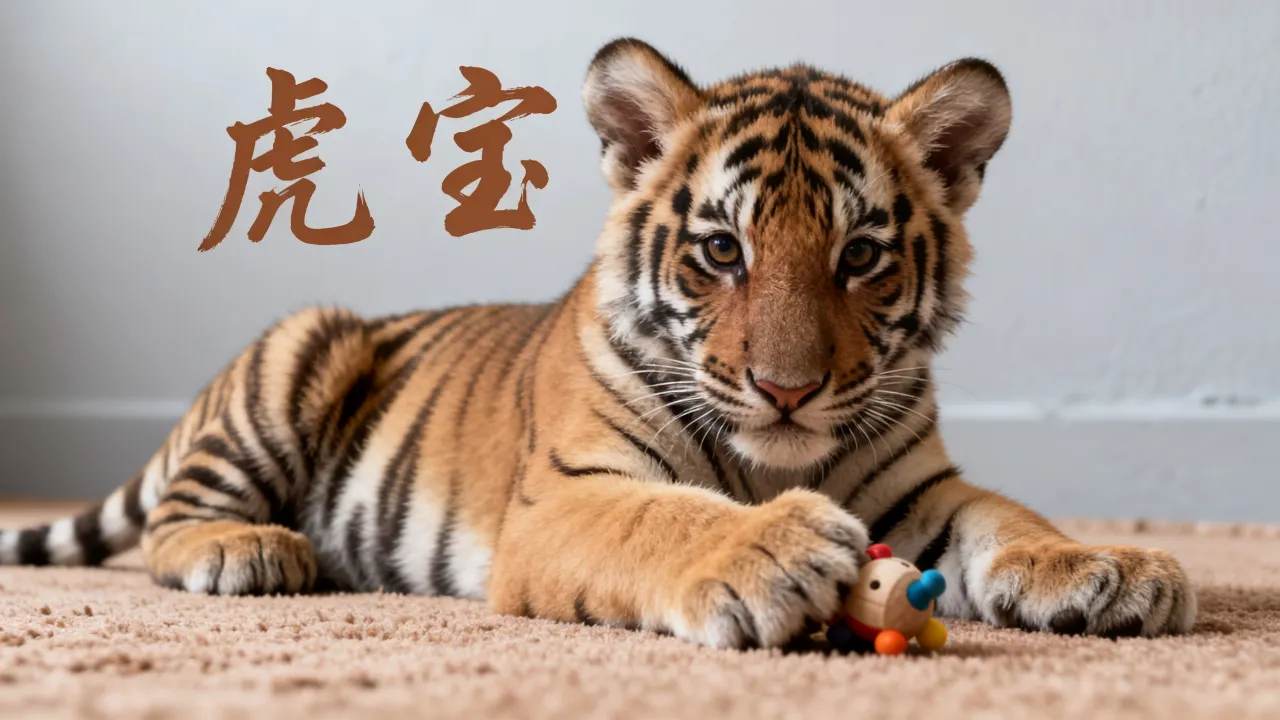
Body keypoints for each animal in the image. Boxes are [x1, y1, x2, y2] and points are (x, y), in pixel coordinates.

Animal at [0, 38, 1196, 649]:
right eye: (720, 249)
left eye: (860, 256)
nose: (787, 390)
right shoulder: (568, 496)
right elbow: (663, 517)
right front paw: (768, 551)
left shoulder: (923, 489)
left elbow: (1010, 517)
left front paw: (1108, 567)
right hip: (302, 349)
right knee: (170, 521)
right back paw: (250, 550)